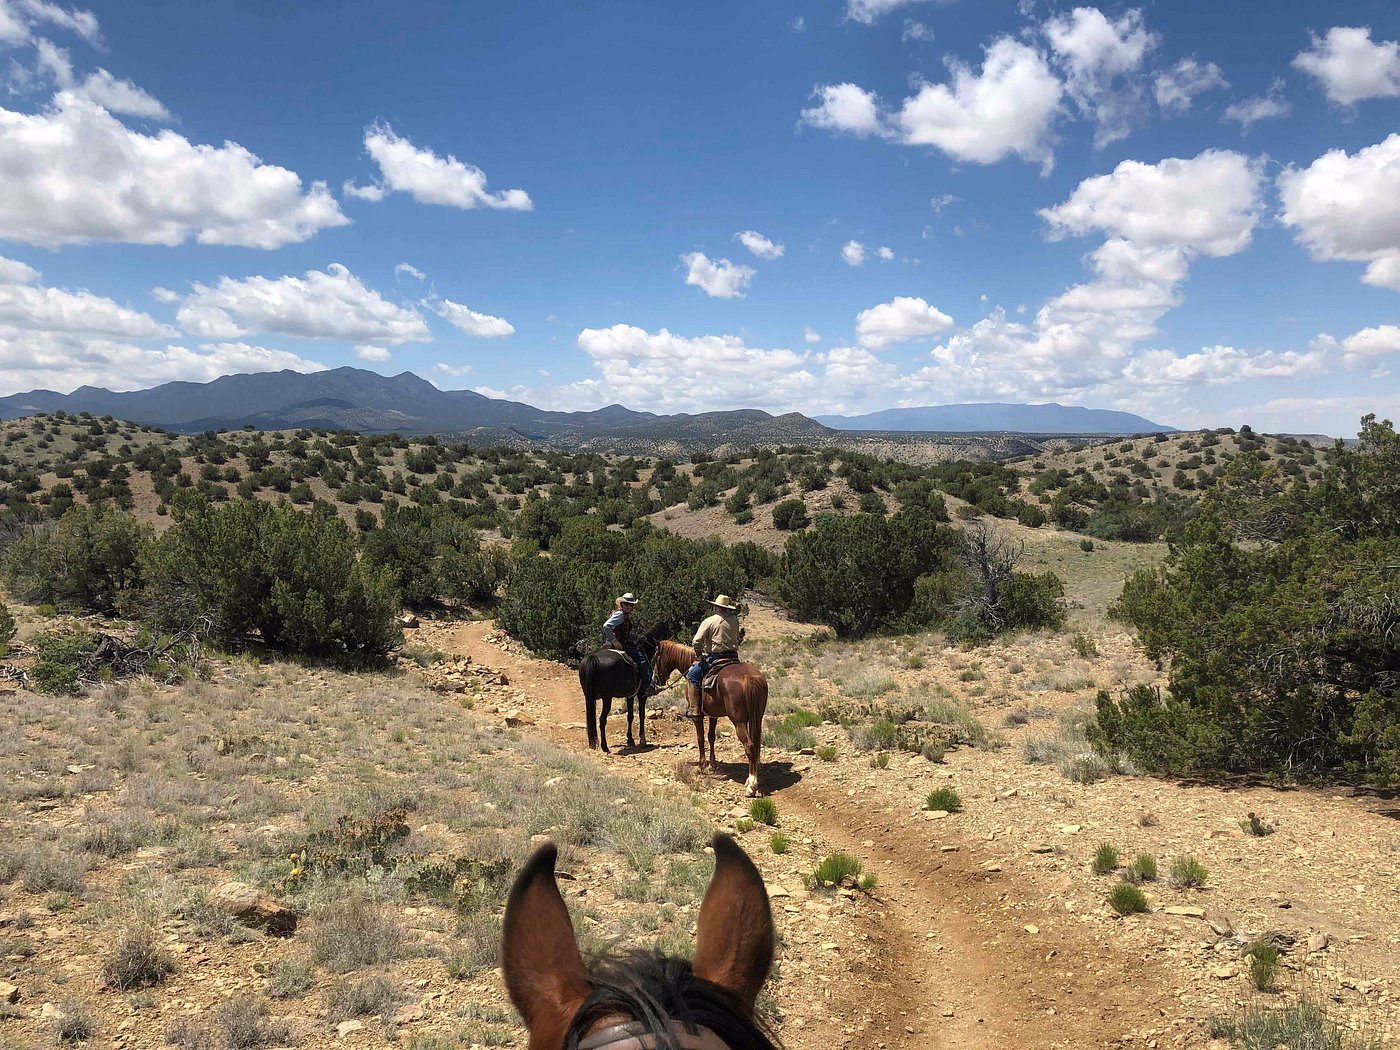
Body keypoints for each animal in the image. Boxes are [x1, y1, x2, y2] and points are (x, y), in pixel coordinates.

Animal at [578, 620, 670, 753]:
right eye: (668, 630)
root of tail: (592, 658)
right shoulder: (642, 695)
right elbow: (641, 715)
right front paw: (642, 740)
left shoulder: (630, 695)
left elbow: (630, 716)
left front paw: (630, 740)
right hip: (607, 698)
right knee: (602, 720)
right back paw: (605, 747)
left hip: (588, 697)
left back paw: (594, 744)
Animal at [652, 639, 768, 797]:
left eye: (656, 658)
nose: (655, 680)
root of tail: (749, 677)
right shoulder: (713, 715)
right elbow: (711, 736)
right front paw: (712, 764)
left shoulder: (697, 716)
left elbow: (700, 738)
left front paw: (701, 765)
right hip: (758, 718)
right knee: (756, 745)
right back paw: (753, 780)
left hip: (739, 722)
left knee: (749, 746)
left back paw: (751, 786)